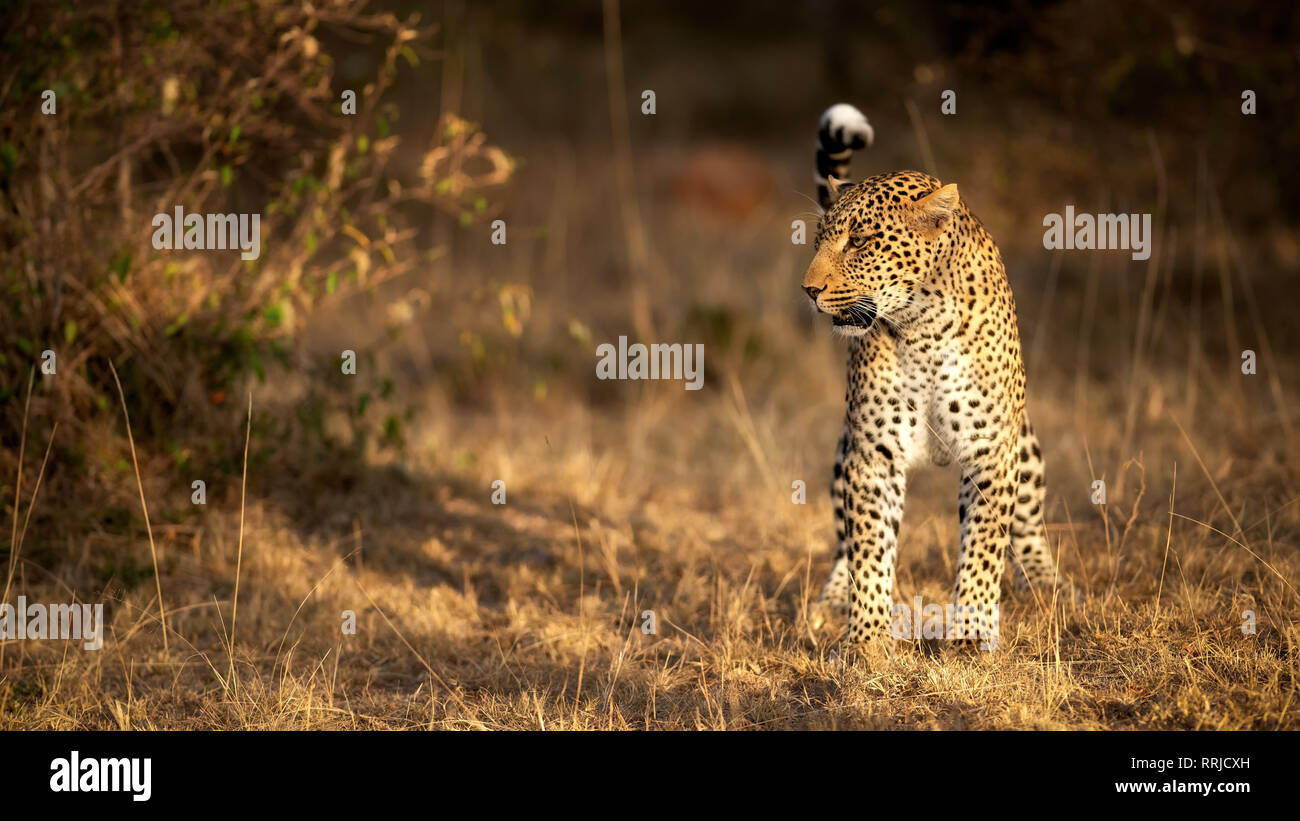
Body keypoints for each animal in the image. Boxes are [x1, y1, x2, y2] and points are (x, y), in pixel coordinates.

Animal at [806, 102, 1071, 644]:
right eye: (819, 240)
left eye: (859, 242)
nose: (808, 289)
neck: (921, 326)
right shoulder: (872, 455)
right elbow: (869, 549)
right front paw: (864, 639)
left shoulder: (991, 449)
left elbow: (985, 545)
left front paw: (971, 631)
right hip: (845, 450)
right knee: (844, 538)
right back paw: (833, 597)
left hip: (1025, 442)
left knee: (1027, 525)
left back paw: (1043, 582)